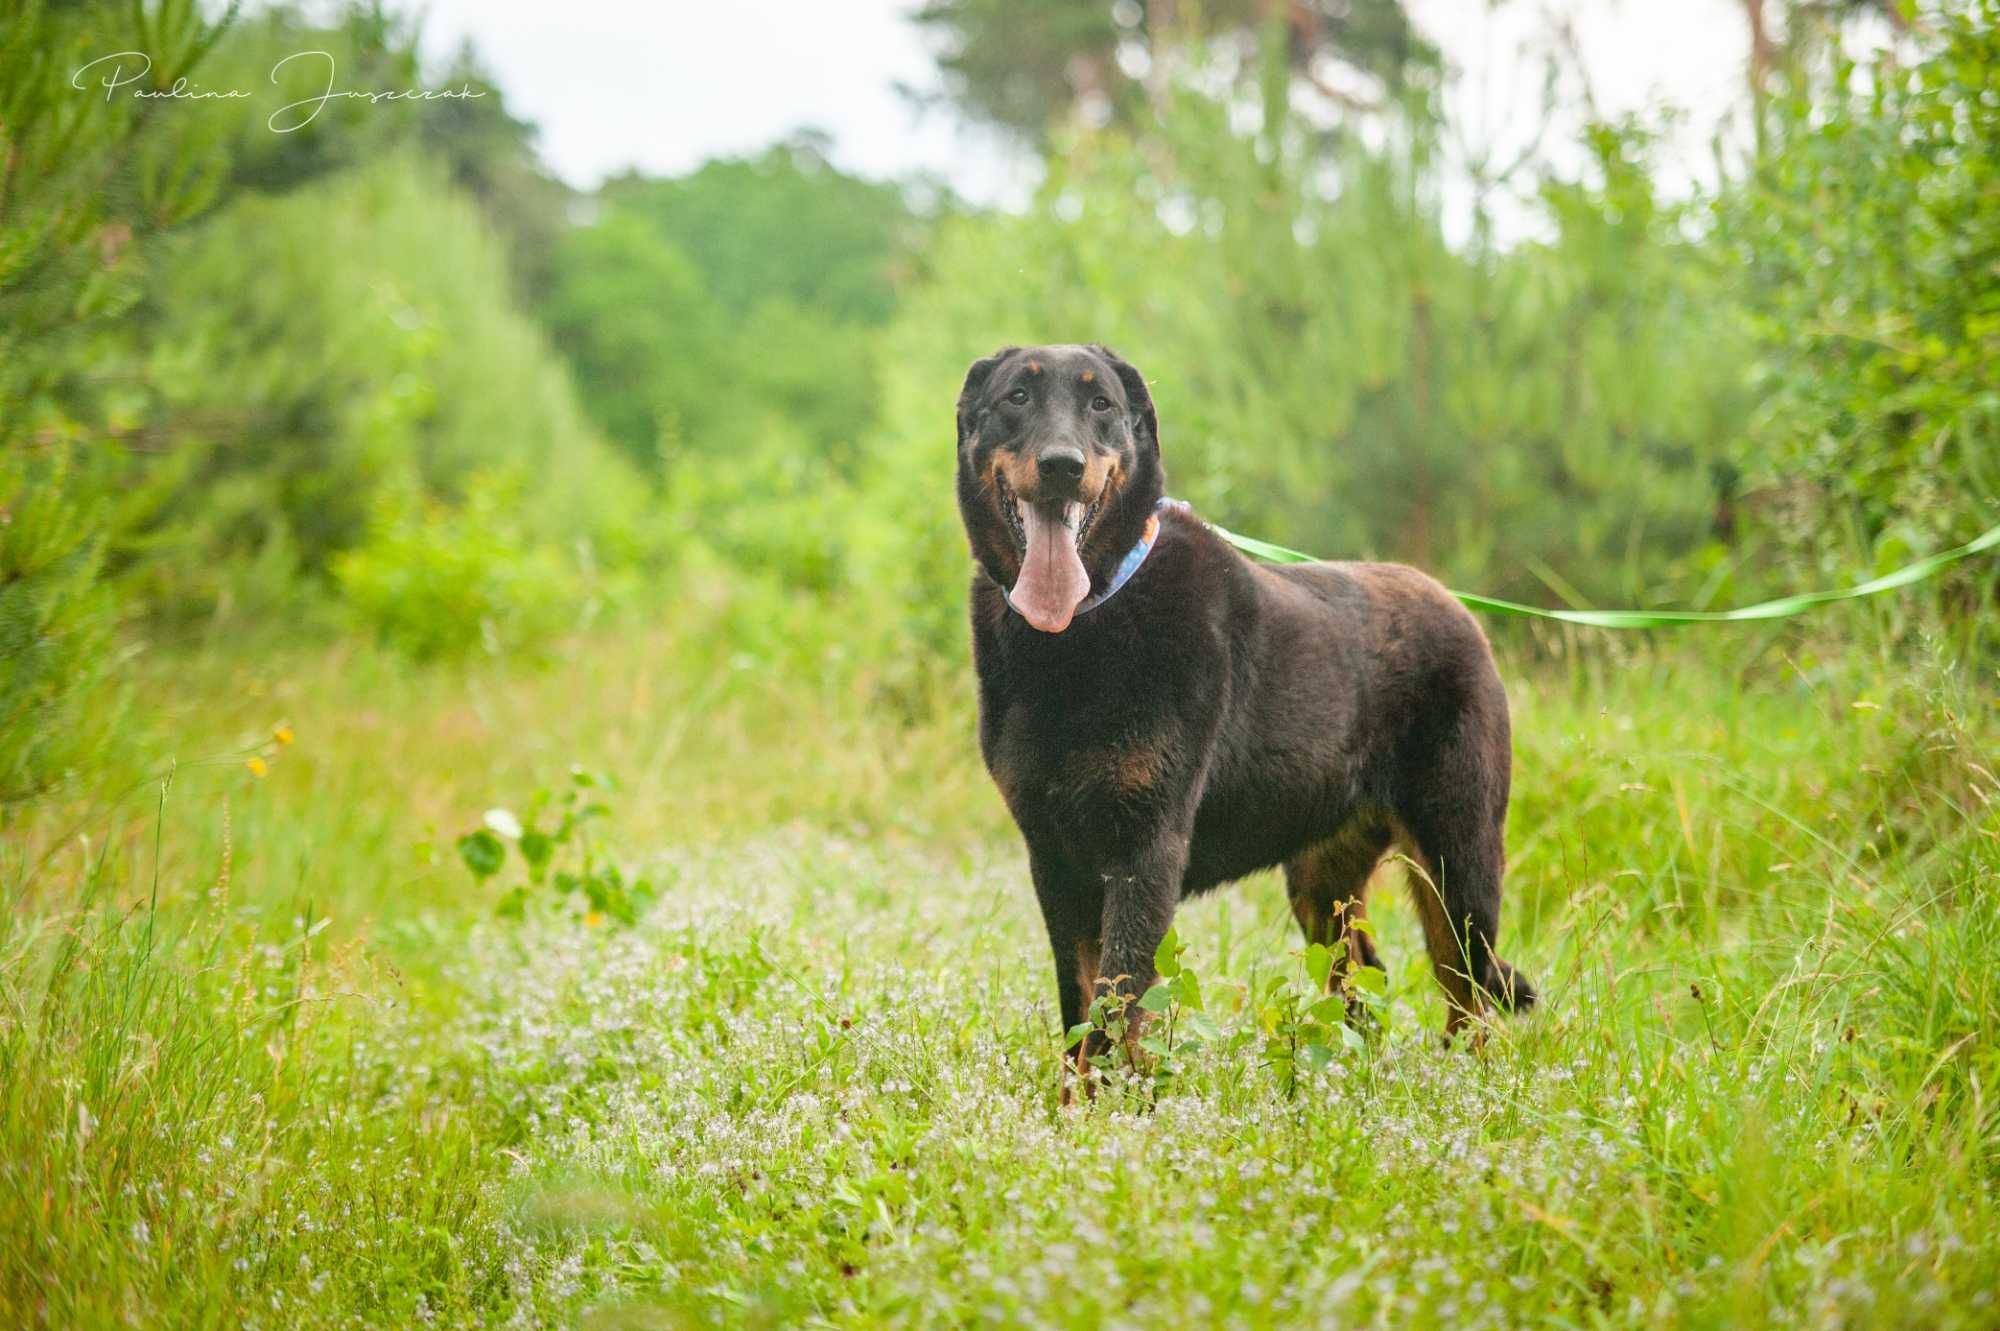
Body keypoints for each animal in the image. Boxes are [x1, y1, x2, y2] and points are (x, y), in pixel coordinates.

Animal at [952, 343, 1528, 1087]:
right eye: (1016, 397)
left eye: (1101, 403)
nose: (1061, 465)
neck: (1085, 625)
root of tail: (1458, 608)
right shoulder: (1054, 855)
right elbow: (1079, 999)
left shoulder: (1146, 848)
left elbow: (1115, 1001)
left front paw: (1109, 1102)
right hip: (1321, 882)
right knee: (1364, 984)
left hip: (1458, 855)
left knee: (1469, 990)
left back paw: (1463, 1086)